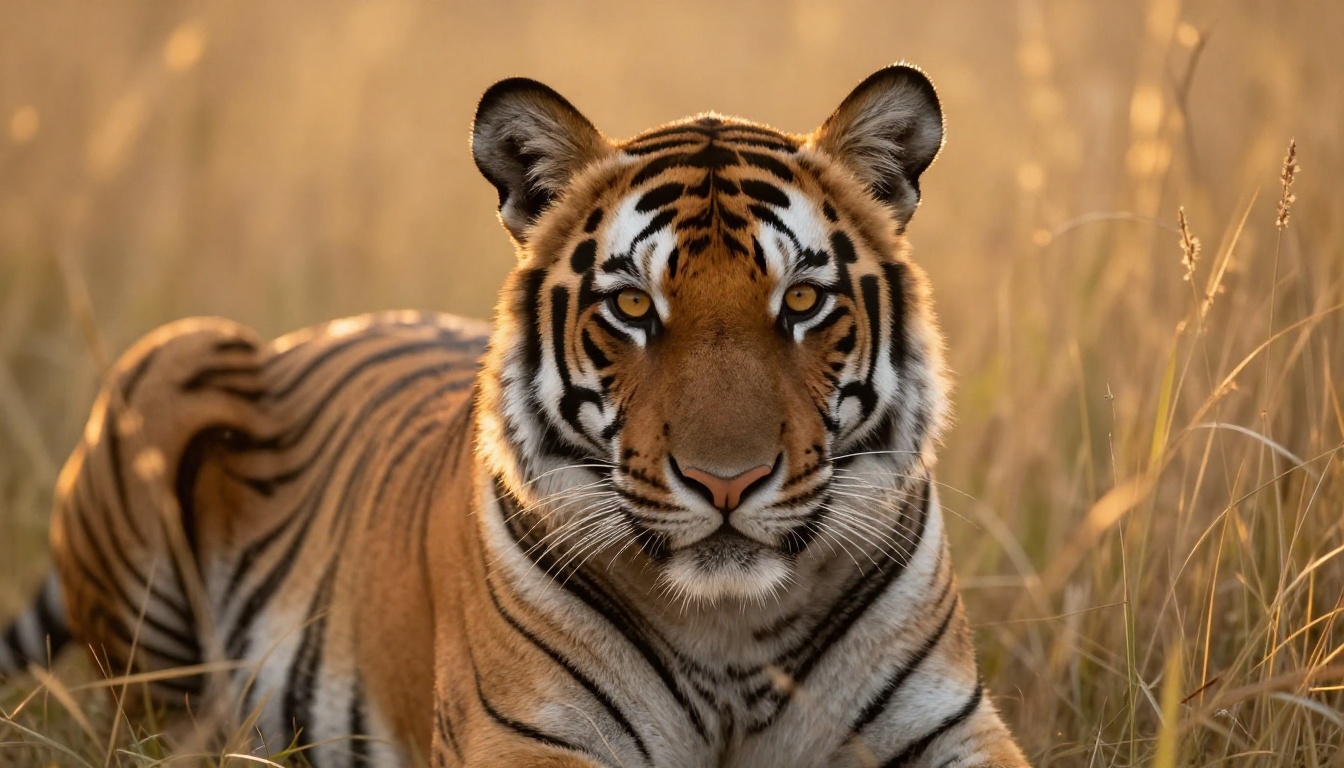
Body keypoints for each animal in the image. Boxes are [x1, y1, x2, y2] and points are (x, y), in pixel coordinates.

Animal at [0, 64, 1029, 767]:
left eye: (804, 302)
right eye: (633, 307)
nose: (726, 482)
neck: (731, 635)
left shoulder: (947, 728)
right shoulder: (531, 739)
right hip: (174, 363)